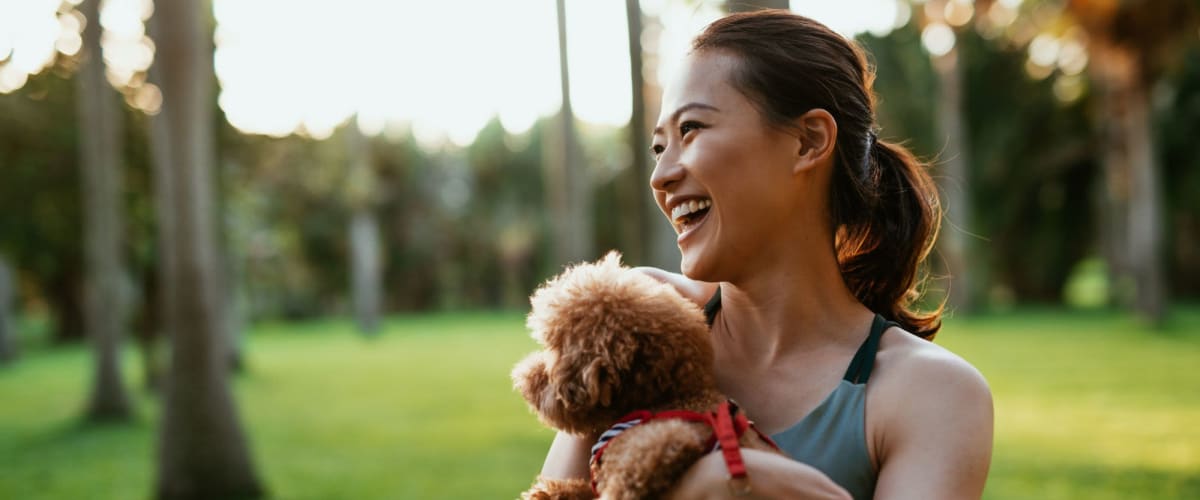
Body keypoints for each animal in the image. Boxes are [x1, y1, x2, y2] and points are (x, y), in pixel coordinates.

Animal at [508, 252, 777, 498]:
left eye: (554, 351)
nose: (522, 377)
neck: (667, 400)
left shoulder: (665, 442)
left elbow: (624, 483)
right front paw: (549, 491)